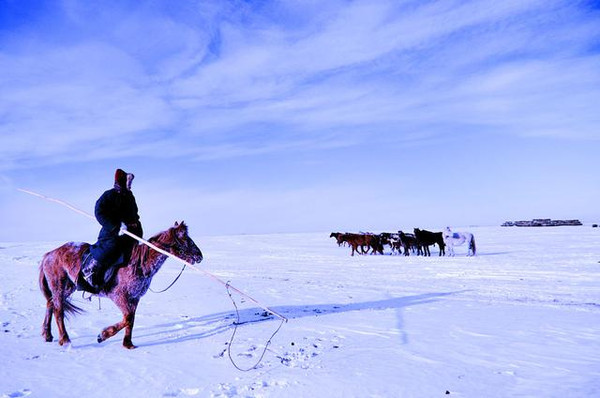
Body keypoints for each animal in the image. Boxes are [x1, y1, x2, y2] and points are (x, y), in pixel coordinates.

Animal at [40, 222, 204, 350]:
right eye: (185, 239)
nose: (199, 256)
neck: (139, 264)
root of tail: (49, 254)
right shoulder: (119, 296)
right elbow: (128, 318)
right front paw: (102, 335)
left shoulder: (135, 298)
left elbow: (131, 320)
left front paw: (128, 344)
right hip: (59, 287)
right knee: (58, 311)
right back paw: (65, 340)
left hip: (68, 287)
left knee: (50, 304)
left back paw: (48, 335)